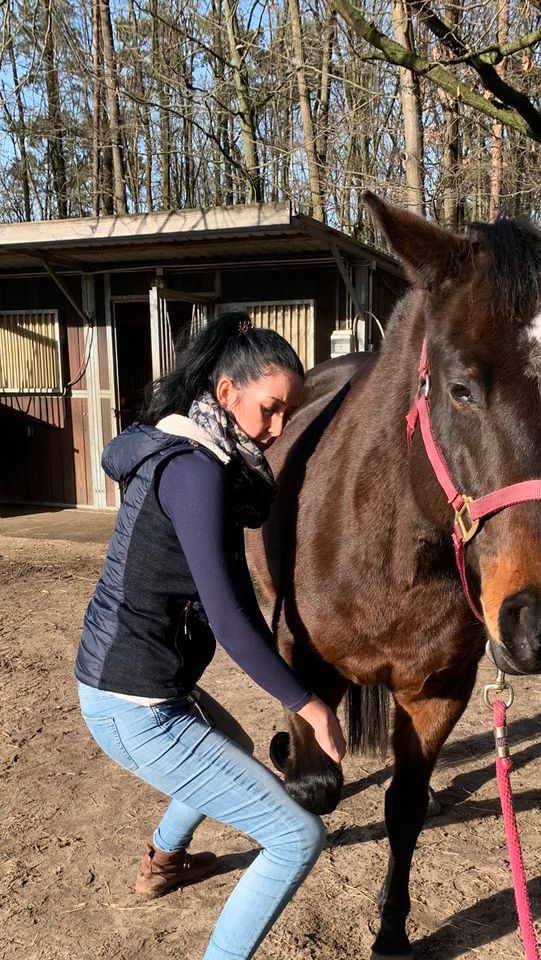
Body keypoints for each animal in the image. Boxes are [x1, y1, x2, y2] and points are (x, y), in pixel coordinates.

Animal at [247, 191, 540, 956]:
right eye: (460, 389)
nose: (536, 622)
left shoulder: (439, 690)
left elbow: (403, 805)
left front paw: (390, 931)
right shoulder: (300, 659)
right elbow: (316, 784)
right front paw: (292, 762)